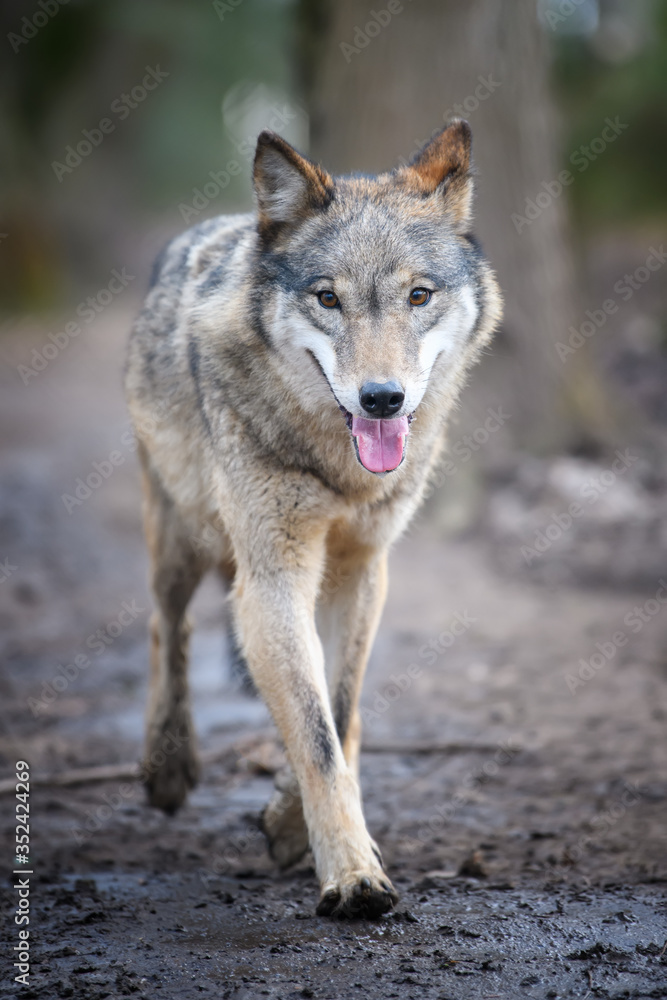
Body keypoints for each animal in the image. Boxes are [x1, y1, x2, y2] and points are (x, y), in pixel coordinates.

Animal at [125, 119, 502, 918]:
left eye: (418, 295)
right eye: (327, 298)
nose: (382, 398)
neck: (340, 470)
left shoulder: (361, 569)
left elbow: (340, 709)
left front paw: (289, 825)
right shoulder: (273, 577)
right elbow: (315, 733)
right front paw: (353, 876)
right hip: (180, 538)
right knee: (165, 624)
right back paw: (167, 767)